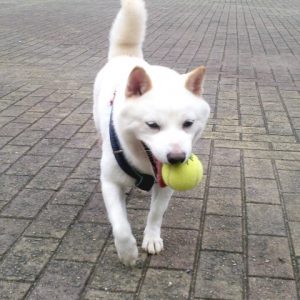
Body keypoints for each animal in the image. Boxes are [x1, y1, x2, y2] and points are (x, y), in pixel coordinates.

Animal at [92, 0, 210, 266]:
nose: (177, 159)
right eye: (152, 125)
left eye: (188, 123)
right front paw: (127, 252)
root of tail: (127, 57)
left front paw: (152, 238)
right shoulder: (109, 182)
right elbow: (120, 226)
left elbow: (156, 213)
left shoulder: (165, 186)